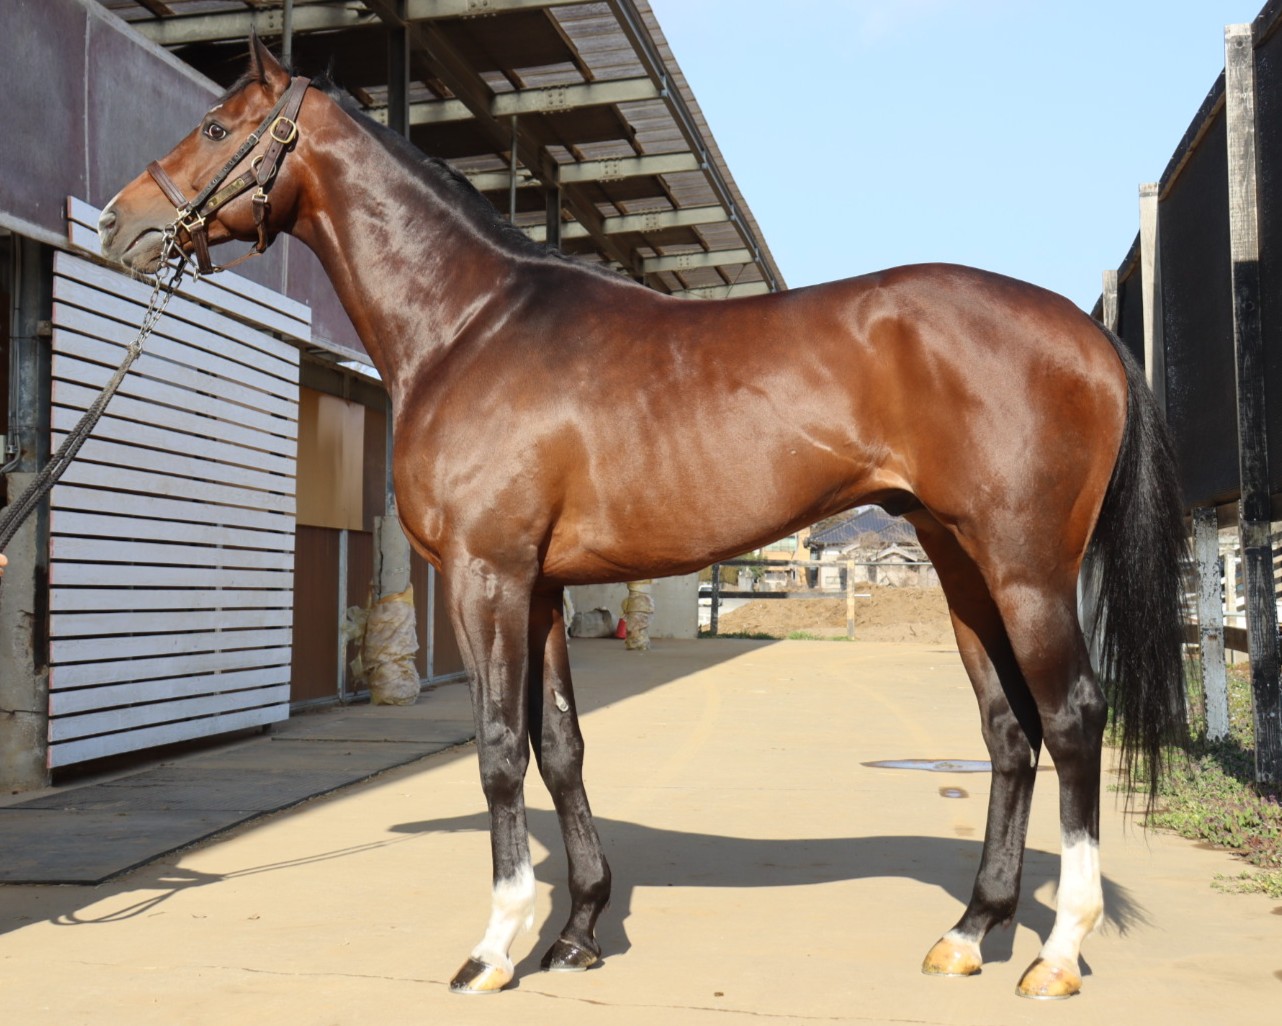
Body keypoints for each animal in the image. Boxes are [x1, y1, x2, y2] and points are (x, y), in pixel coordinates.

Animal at [99, 37, 1187, 1000]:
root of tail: (1083, 331)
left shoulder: (488, 576)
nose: (118, 224)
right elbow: (560, 747)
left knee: (1071, 719)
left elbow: (499, 750)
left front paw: (495, 947)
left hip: (1025, 570)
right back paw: (969, 933)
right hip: (962, 567)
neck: (470, 325)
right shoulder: (538, 587)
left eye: (214, 125)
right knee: (1008, 732)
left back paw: (1057, 954)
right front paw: (578, 931)